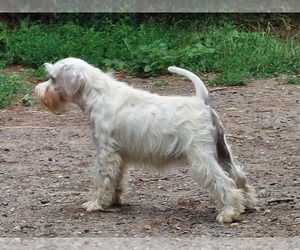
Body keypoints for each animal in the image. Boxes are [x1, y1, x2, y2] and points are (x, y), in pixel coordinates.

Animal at [34, 58, 255, 223]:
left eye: (52, 77)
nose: (37, 90)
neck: (97, 95)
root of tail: (202, 101)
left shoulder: (105, 152)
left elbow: (102, 179)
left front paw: (96, 203)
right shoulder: (119, 155)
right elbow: (116, 179)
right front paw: (113, 200)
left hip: (202, 158)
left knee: (225, 182)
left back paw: (229, 213)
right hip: (222, 152)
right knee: (239, 177)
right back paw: (248, 203)